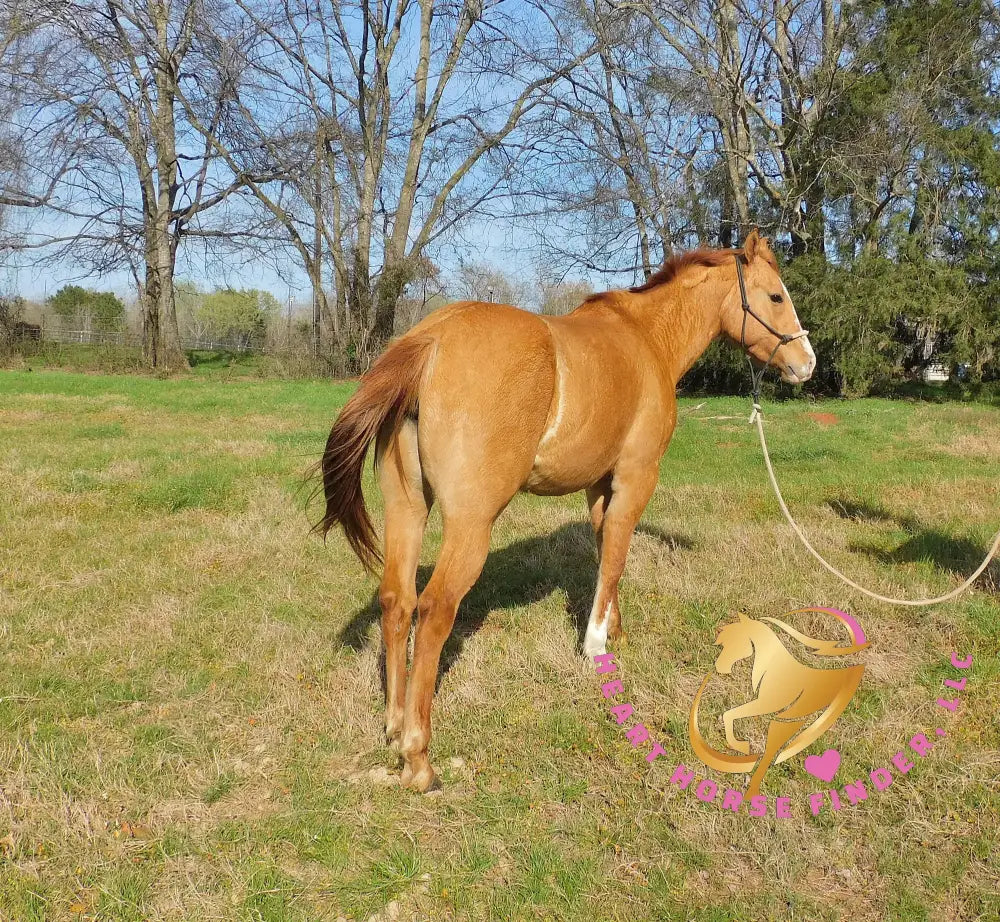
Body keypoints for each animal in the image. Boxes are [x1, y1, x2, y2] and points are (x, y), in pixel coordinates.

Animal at [317, 230, 815, 792]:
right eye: (776, 296)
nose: (807, 363)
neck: (645, 338)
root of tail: (432, 337)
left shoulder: (600, 485)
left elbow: (606, 551)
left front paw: (613, 630)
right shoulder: (637, 476)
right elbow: (617, 552)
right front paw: (597, 648)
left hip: (406, 509)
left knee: (397, 601)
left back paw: (395, 724)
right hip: (470, 526)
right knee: (435, 610)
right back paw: (418, 757)